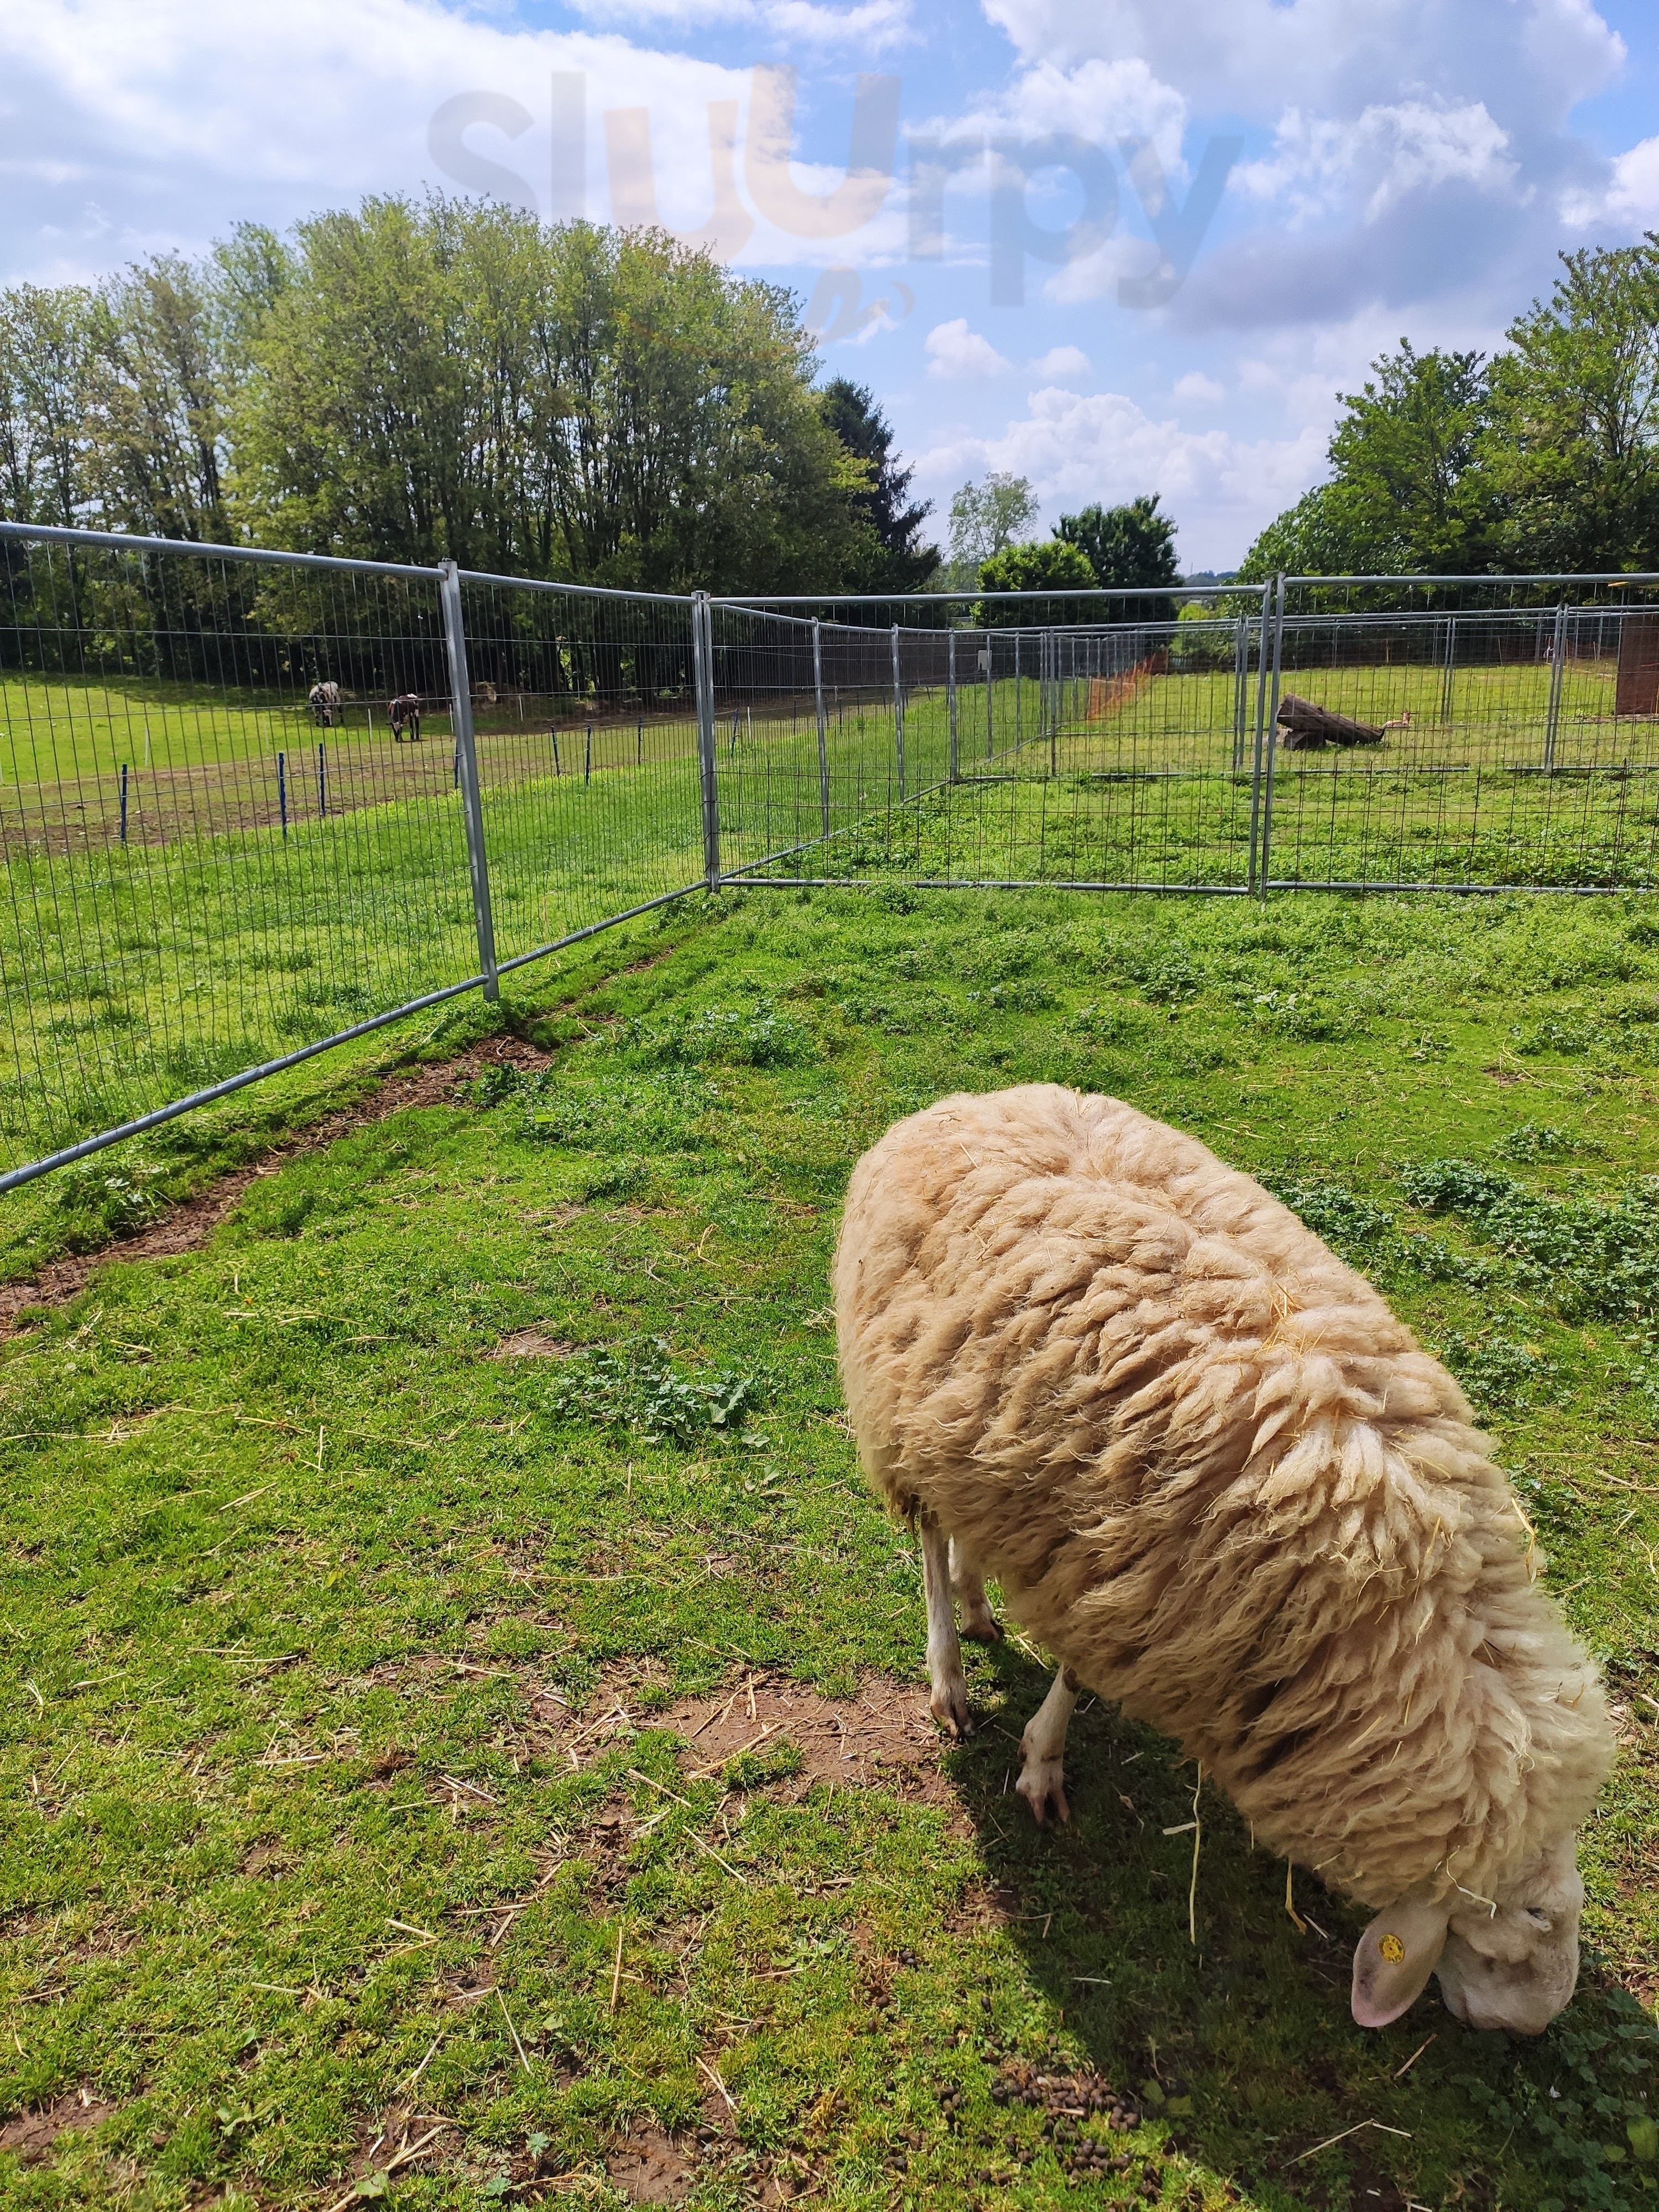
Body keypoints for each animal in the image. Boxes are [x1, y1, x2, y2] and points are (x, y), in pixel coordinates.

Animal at [836, 1079, 1619, 2026]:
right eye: (1530, 1912)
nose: (1537, 2021)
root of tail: (963, 1100)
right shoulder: (1122, 1576)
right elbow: (1076, 1679)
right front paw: (1041, 1764)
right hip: (896, 1403)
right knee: (926, 1540)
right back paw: (949, 1671)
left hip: (968, 1426)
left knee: (963, 1528)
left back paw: (980, 1599)